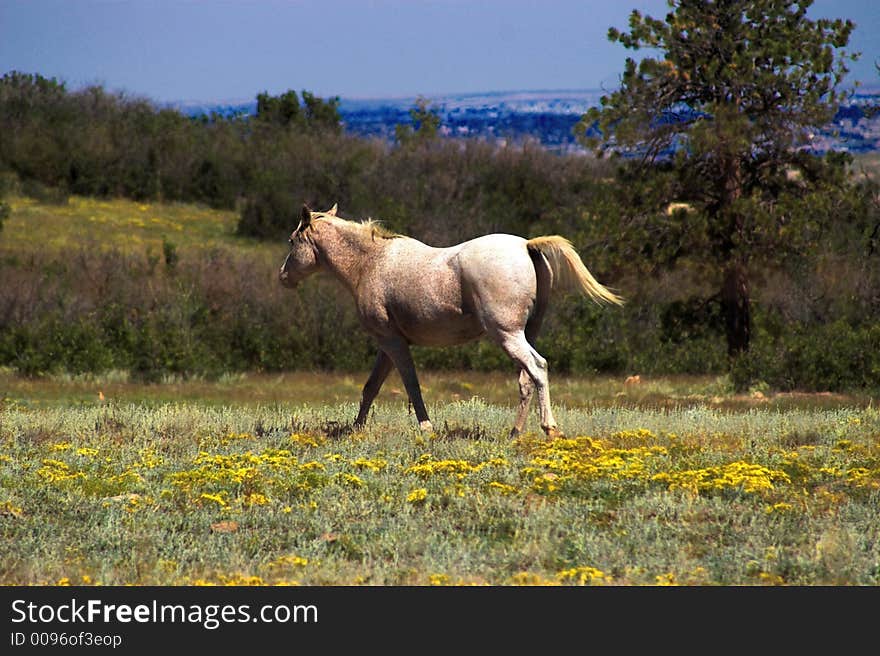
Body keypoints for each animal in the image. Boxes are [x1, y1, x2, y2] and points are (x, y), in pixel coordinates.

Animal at [278, 202, 624, 438]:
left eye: (293, 240)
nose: (283, 277)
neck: (371, 263)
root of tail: (527, 246)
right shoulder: (388, 345)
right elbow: (370, 387)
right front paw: (356, 429)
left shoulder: (393, 343)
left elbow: (410, 384)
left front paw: (426, 429)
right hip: (524, 335)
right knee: (526, 380)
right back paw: (514, 434)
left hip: (507, 335)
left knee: (538, 368)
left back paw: (549, 428)